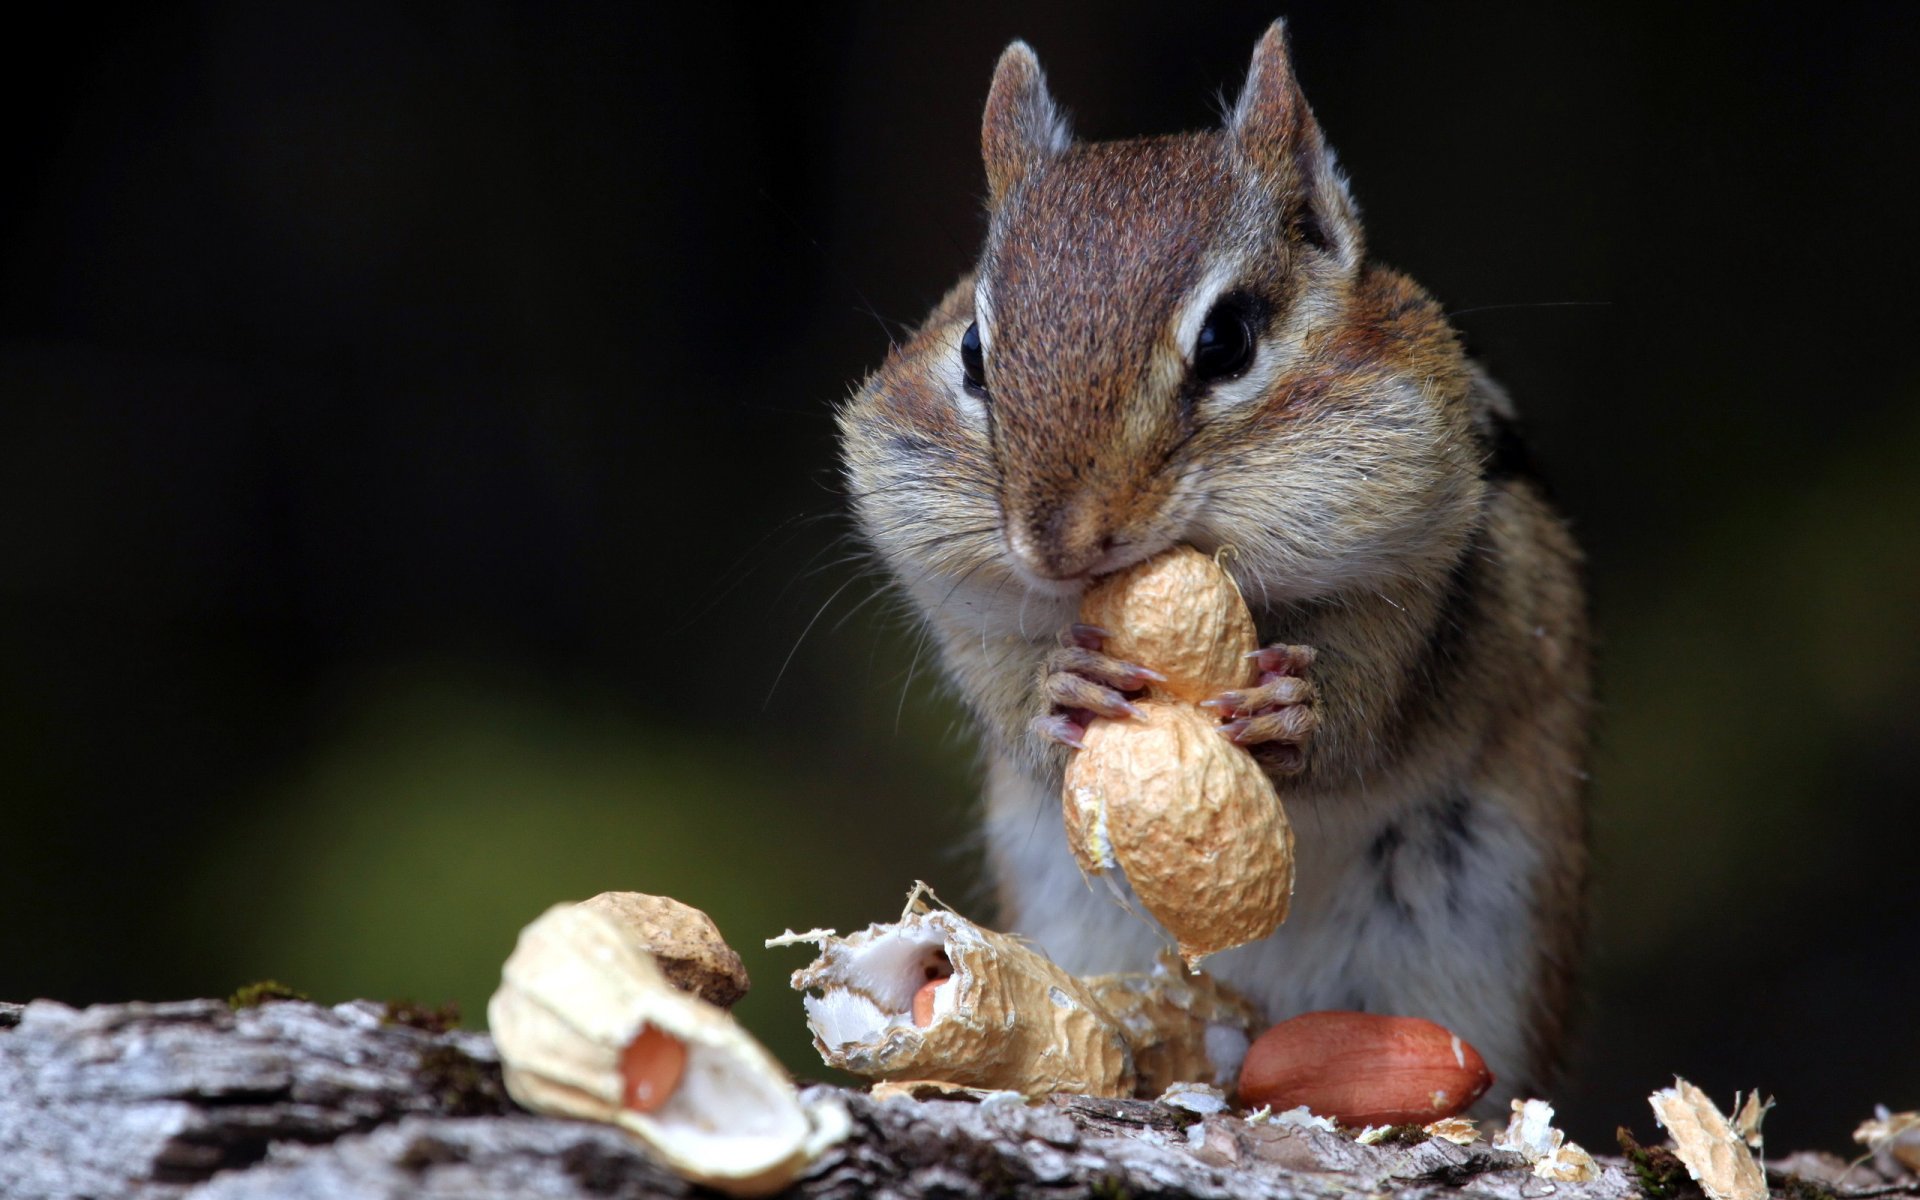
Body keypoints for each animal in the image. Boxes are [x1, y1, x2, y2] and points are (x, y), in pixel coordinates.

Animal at [838, 21, 1591, 1103]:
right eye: (974, 351)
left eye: (1228, 340)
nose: (1058, 545)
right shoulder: (964, 605)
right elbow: (1012, 695)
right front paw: (1063, 687)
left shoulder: (1437, 576)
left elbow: (1381, 707)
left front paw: (1294, 711)